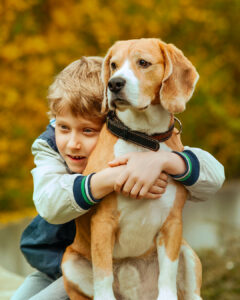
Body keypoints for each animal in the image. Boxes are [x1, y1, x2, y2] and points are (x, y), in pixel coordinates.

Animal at [62, 38, 202, 298]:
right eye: (114, 65)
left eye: (143, 63)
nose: (114, 83)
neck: (142, 138)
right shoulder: (103, 223)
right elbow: (103, 276)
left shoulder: (172, 224)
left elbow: (167, 277)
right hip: (69, 262)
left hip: (187, 255)